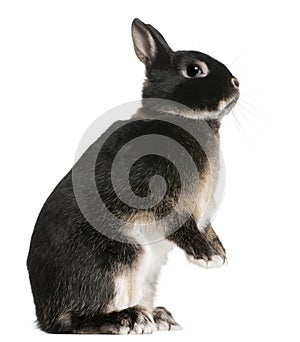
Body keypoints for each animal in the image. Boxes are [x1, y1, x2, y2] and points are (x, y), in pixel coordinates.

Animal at [27, 18, 239, 334]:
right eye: (194, 70)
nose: (236, 83)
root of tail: (43, 312)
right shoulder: (154, 190)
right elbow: (177, 221)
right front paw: (207, 256)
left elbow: (205, 226)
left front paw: (218, 250)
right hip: (118, 256)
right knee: (73, 320)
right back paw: (128, 318)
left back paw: (159, 316)